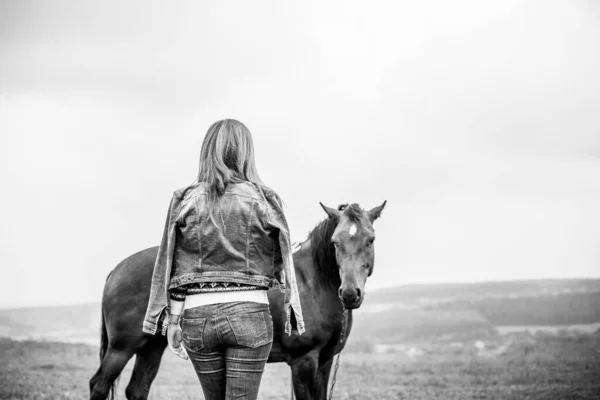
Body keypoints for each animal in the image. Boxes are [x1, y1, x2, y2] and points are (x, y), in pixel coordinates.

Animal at [91, 202, 386, 400]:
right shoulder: (303, 362)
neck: (312, 283)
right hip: (121, 348)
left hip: (151, 347)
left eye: (370, 240)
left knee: (137, 389)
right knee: (99, 384)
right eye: (335, 242)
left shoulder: (324, 361)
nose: (350, 294)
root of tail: (116, 271)